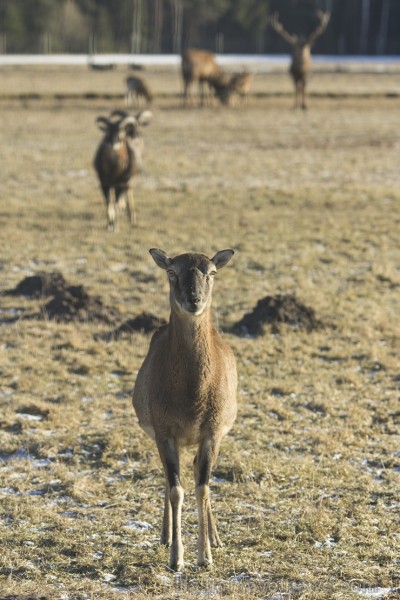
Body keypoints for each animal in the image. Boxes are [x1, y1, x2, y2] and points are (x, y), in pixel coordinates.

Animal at [133, 248, 236, 572]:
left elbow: (202, 488)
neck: (193, 396)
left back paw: (216, 537)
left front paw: (205, 557)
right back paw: (165, 536)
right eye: (171, 271)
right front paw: (176, 559)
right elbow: (176, 489)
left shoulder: (212, 433)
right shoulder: (165, 432)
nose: (194, 300)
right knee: (169, 480)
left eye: (211, 272)